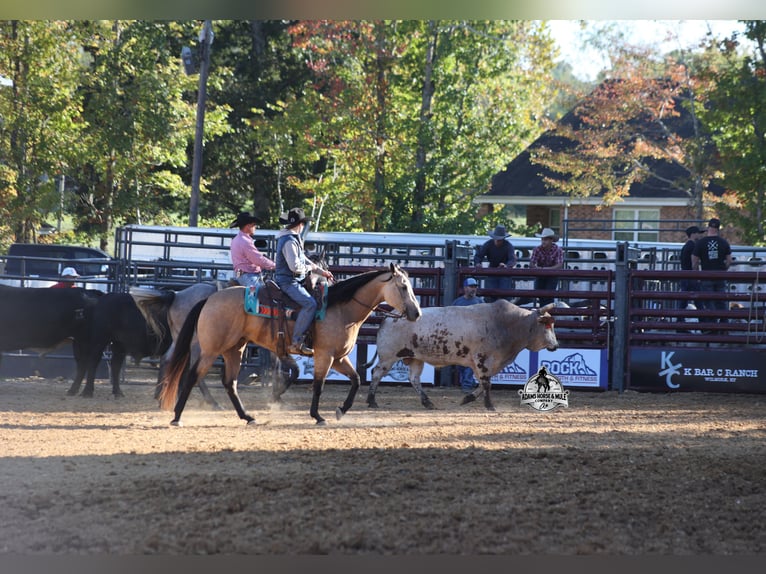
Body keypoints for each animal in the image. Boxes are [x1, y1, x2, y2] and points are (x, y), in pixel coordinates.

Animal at [158, 263, 422, 426]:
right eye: (403, 286)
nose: (416, 313)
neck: (341, 308)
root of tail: (210, 297)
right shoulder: (325, 355)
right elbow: (318, 385)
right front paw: (317, 416)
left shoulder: (339, 357)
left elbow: (356, 379)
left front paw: (341, 410)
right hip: (211, 349)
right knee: (193, 376)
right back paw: (177, 417)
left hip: (235, 349)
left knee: (229, 383)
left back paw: (248, 417)